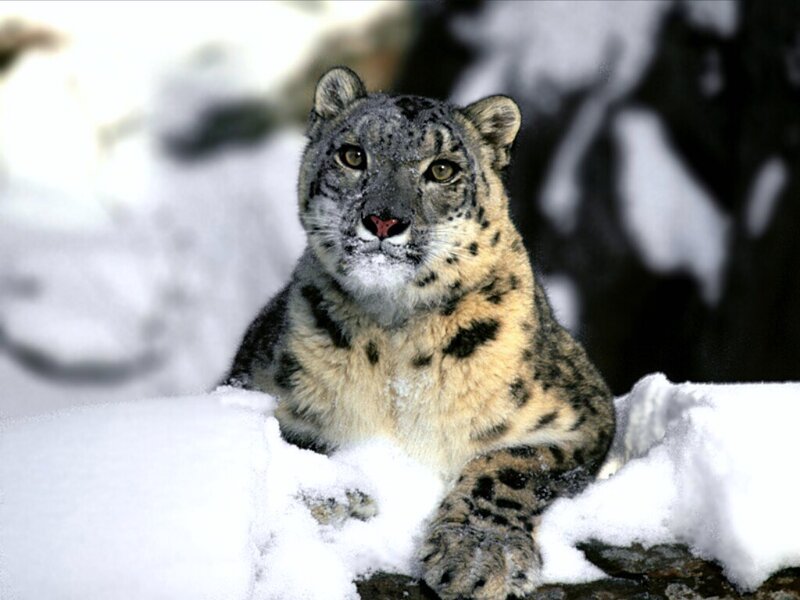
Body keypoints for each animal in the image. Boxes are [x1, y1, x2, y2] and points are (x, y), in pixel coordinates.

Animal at [225, 66, 615, 600]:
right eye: (353, 155)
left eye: (443, 169)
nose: (383, 220)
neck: (394, 343)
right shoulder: (254, 387)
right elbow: (291, 443)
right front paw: (339, 494)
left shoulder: (579, 412)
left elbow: (512, 465)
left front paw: (479, 554)